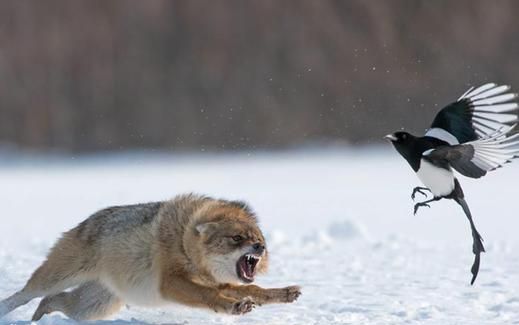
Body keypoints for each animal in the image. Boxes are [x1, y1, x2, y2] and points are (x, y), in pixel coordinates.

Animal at [0, 194, 300, 320]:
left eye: (259, 240)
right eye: (237, 239)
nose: (259, 248)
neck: (183, 242)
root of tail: (88, 220)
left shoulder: (221, 282)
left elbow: (256, 290)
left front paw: (284, 293)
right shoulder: (171, 284)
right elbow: (211, 296)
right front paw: (235, 307)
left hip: (91, 308)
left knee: (52, 302)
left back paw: (37, 319)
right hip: (55, 279)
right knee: (26, 295)